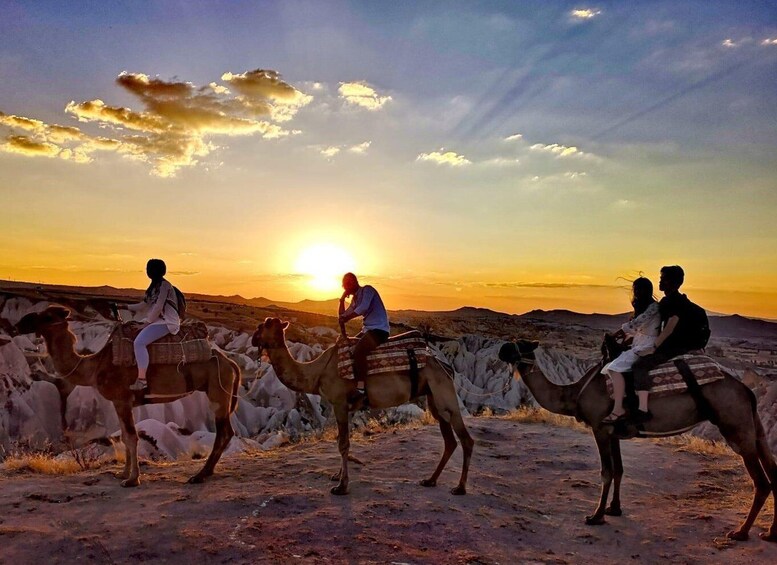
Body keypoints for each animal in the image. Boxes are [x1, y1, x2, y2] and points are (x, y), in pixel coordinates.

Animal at [15, 306, 239, 486]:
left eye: (47, 316)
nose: (20, 323)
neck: (95, 366)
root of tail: (229, 362)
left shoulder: (122, 399)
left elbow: (131, 437)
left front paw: (132, 480)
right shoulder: (120, 402)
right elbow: (124, 436)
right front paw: (122, 473)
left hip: (218, 391)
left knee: (224, 432)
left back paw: (199, 475)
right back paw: (206, 472)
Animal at [253, 318, 472, 494]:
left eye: (265, 325)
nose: (254, 339)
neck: (317, 372)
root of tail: (446, 367)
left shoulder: (339, 403)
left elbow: (343, 444)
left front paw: (341, 486)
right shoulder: (348, 407)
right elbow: (344, 442)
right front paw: (337, 476)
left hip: (444, 393)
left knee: (465, 439)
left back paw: (459, 488)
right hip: (434, 398)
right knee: (449, 441)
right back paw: (430, 480)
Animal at [498, 338, 776, 540]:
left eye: (520, 344)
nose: (502, 349)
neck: (575, 393)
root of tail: (746, 390)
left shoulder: (600, 428)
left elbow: (606, 472)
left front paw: (596, 516)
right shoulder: (613, 431)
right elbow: (619, 470)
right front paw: (614, 509)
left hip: (736, 425)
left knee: (761, 482)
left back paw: (740, 532)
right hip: (753, 426)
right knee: (772, 471)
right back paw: (770, 533)